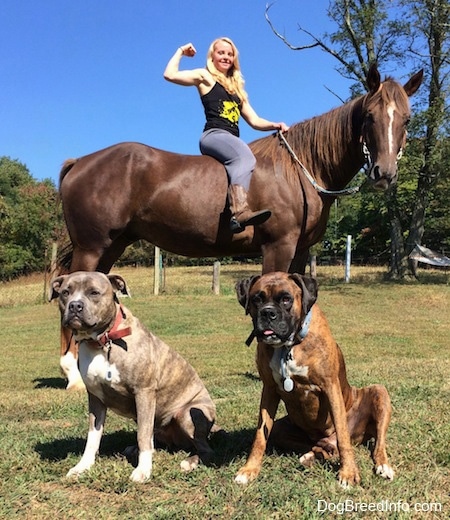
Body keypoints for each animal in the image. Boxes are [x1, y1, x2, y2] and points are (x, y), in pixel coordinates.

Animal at [51, 272, 216, 484]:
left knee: (205, 449)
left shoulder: (144, 392)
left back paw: (189, 462)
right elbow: (92, 438)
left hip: (187, 413)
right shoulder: (95, 399)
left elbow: (143, 436)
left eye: (94, 292)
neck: (103, 341)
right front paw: (82, 467)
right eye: (65, 292)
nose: (75, 306)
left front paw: (143, 470)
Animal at [56, 65, 422, 388]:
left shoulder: (301, 250)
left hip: (111, 246)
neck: (299, 170)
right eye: (370, 115)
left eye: (406, 119)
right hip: (91, 247)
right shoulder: (278, 245)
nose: (384, 173)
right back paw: (74, 374)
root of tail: (80, 162)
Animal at [236, 272, 394, 488]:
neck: (288, 347)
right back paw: (311, 456)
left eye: (286, 299)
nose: (268, 313)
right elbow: (260, 436)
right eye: (256, 299)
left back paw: (383, 465)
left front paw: (348, 472)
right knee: (321, 446)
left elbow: (343, 436)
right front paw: (249, 469)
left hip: (379, 392)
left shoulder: (330, 387)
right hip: (283, 429)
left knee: (376, 442)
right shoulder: (268, 390)